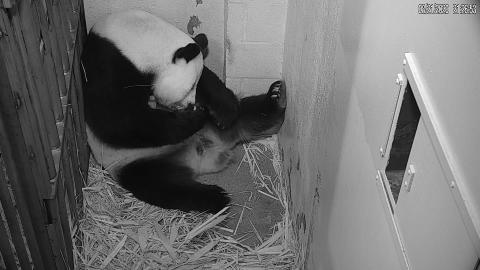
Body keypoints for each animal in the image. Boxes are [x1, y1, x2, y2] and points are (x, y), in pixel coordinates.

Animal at [82, 10, 286, 213]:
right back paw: (216, 197)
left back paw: (276, 97)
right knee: (163, 186)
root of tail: (205, 155)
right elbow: (118, 120)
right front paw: (196, 116)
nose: (190, 105)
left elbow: (210, 80)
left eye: (193, 85)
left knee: (252, 114)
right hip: (135, 163)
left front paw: (224, 113)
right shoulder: (107, 66)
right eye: (188, 88)